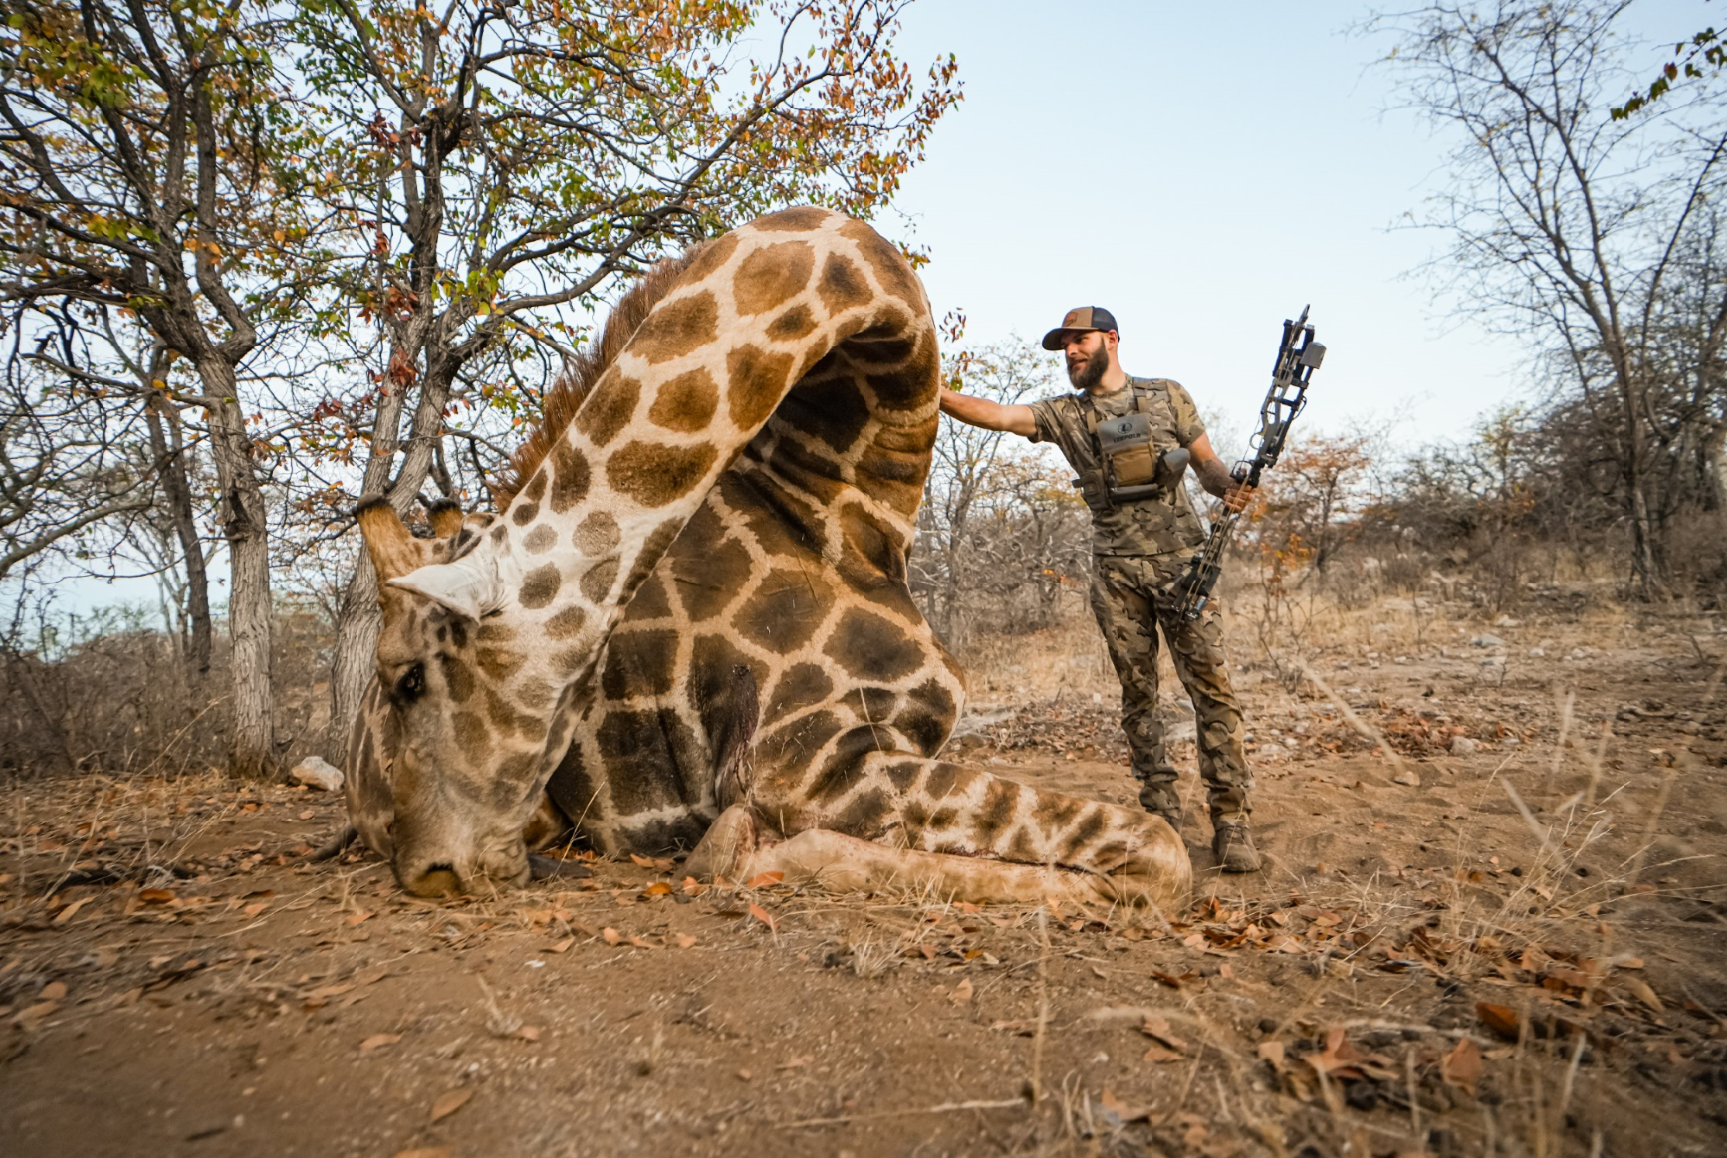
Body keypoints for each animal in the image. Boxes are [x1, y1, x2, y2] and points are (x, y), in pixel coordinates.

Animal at [346, 206, 1192, 907]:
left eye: (410, 679)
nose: (432, 873)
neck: (851, 507)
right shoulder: (813, 764)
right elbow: (1158, 854)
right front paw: (732, 850)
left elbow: (1157, 852)